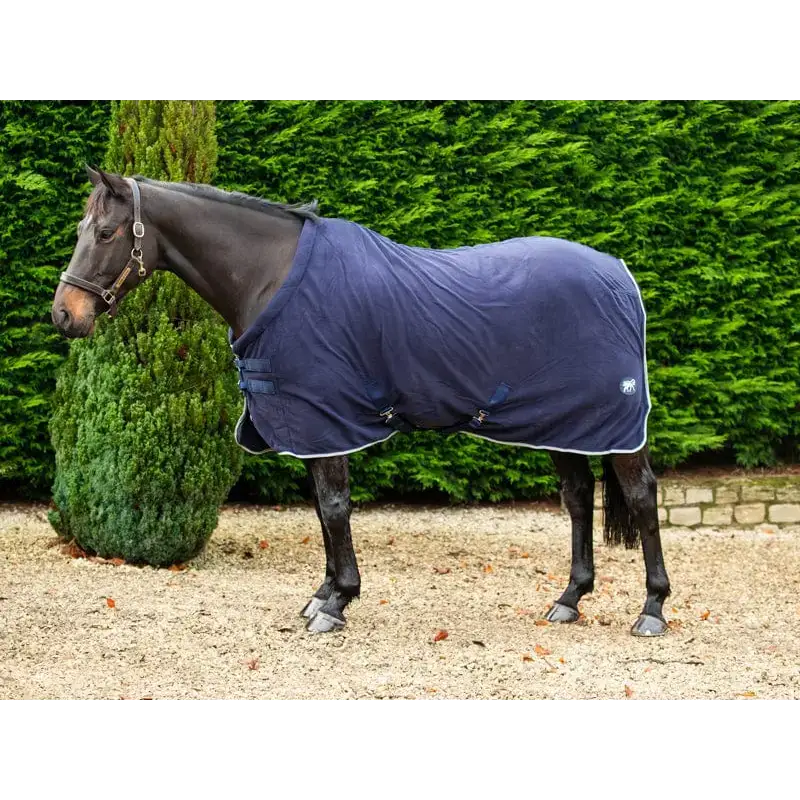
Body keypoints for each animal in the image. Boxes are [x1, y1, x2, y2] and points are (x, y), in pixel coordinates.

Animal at [51, 165, 671, 637]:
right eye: (83, 228)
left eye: (105, 233)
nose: (64, 314)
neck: (272, 276)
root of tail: (619, 276)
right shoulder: (308, 423)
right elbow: (323, 511)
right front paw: (323, 593)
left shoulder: (325, 420)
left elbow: (333, 508)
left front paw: (336, 602)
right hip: (564, 424)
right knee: (578, 498)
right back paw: (568, 600)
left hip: (612, 426)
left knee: (642, 497)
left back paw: (652, 610)